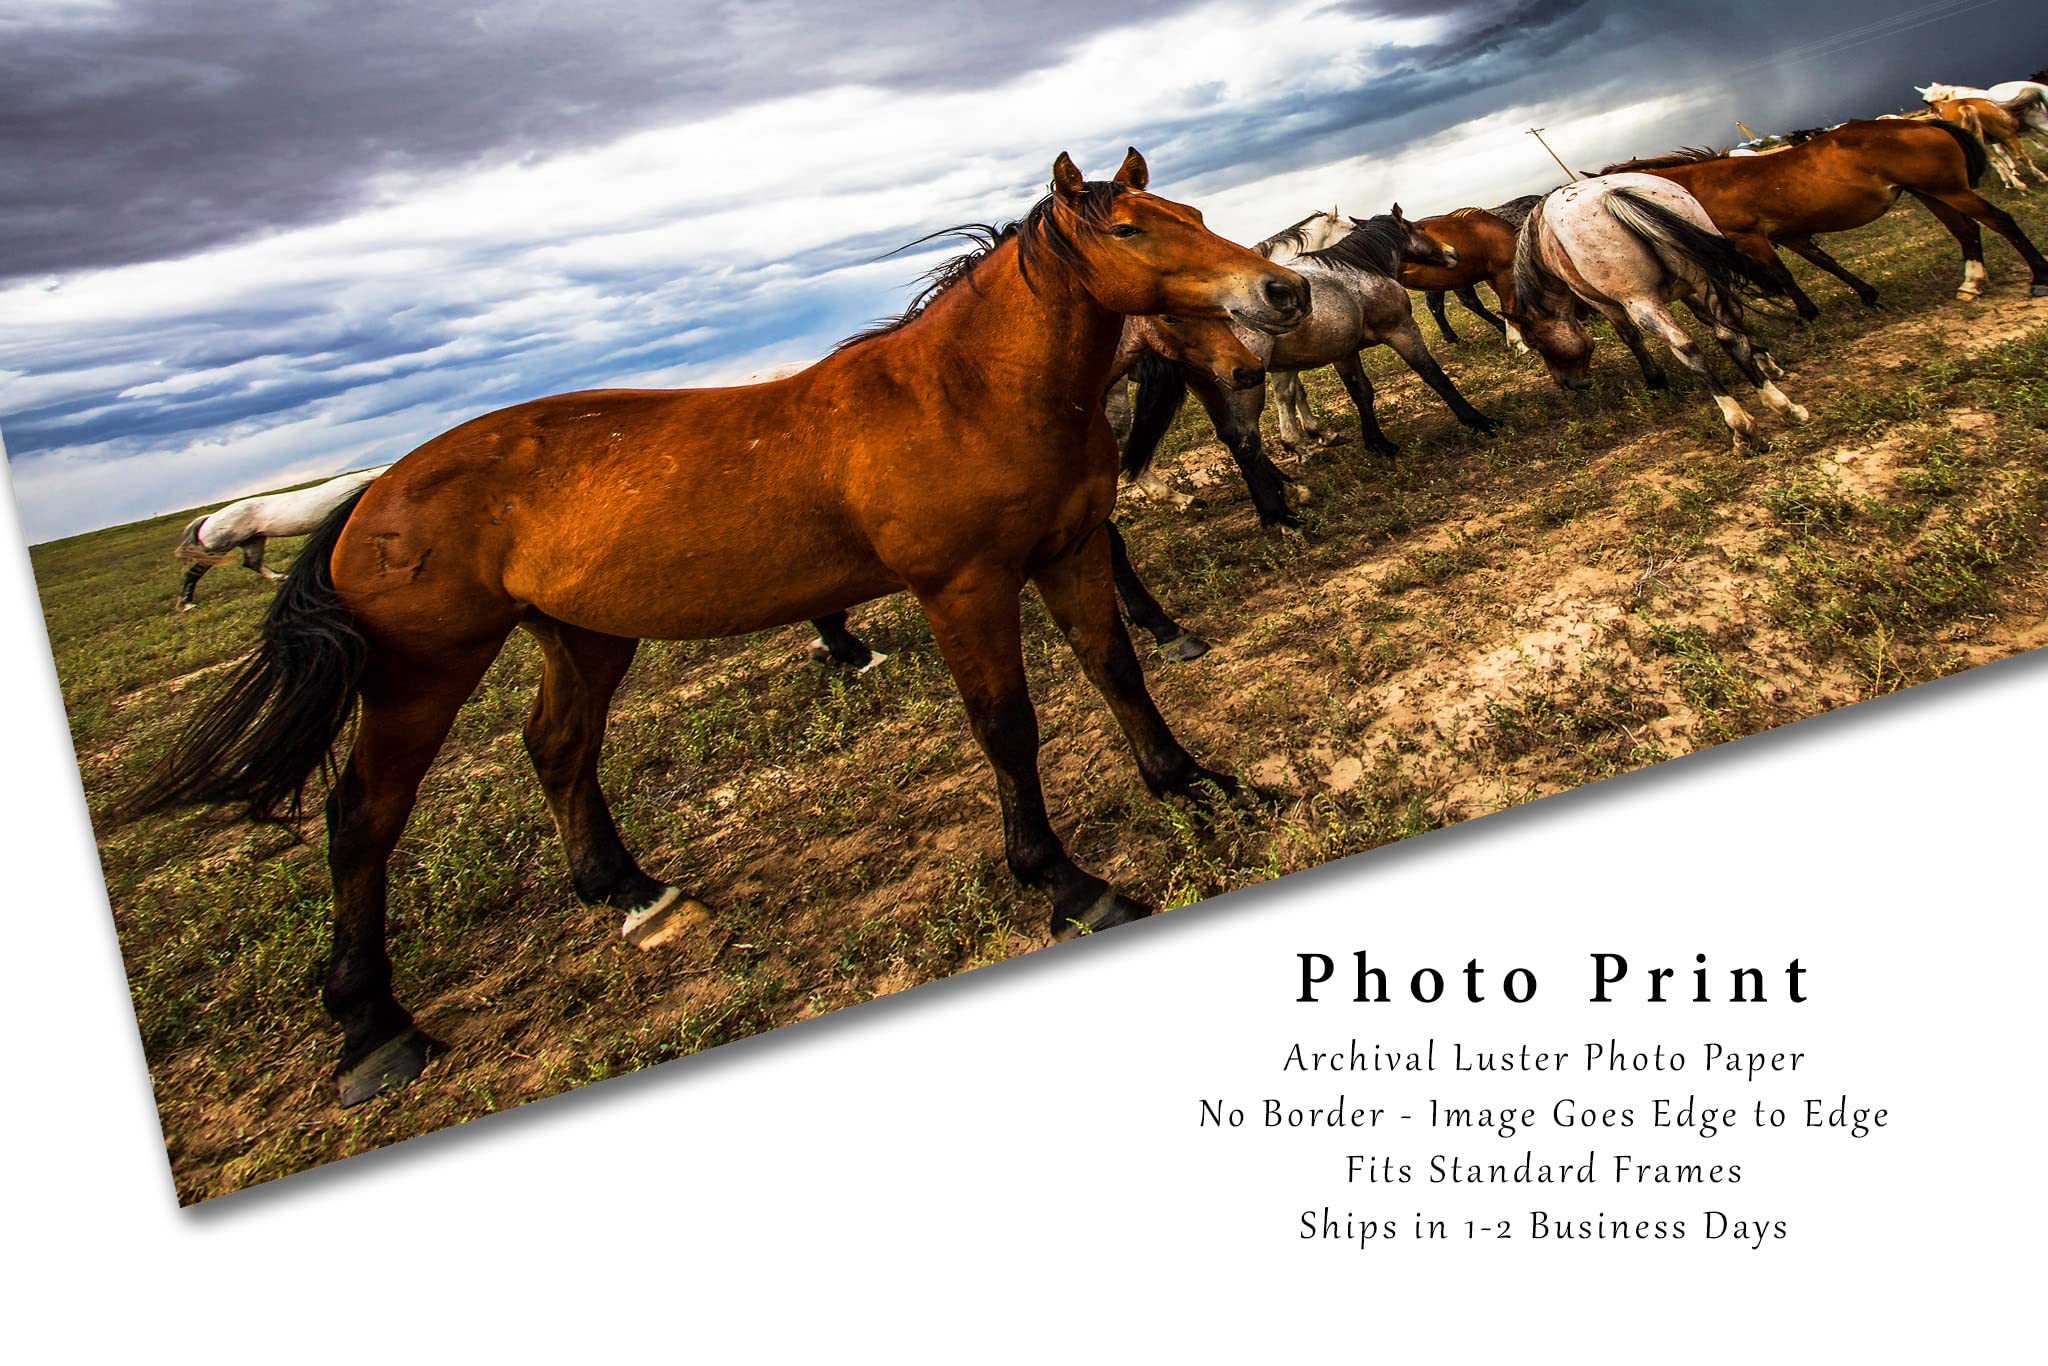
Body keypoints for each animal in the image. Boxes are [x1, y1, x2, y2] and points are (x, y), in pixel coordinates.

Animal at [173, 466, 390, 610]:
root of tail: (209, 518)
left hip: (253, 540)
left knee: (252, 562)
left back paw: (279, 577)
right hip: (218, 549)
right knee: (194, 573)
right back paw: (187, 604)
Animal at [1123, 207, 1500, 530]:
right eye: (1417, 228)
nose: (1452, 253)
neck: (1361, 269)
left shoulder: (1344, 352)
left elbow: (1361, 392)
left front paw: (1377, 443)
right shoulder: (1402, 329)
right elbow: (1434, 376)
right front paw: (1478, 421)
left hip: (1211, 390)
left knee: (1232, 437)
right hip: (1243, 386)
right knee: (1245, 439)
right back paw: (1276, 514)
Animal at [1510, 173, 1809, 450]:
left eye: (1536, 342)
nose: (1568, 384)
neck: (1543, 237)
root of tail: (1612, 195)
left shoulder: (1603, 303)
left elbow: (1630, 336)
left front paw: (1655, 380)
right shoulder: (1691, 288)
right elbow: (1712, 320)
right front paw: (1763, 359)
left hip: (1642, 302)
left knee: (1686, 347)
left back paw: (1740, 425)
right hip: (1704, 278)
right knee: (1729, 333)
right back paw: (1783, 405)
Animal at [1595, 120, 2048, 314]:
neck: (1696, 186)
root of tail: (1916, 123)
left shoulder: (1752, 237)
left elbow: (1782, 275)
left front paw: (1808, 313)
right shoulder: (1790, 234)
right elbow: (1826, 263)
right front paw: (1867, 294)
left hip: (1948, 190)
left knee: (2001, 222)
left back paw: (2038, 278)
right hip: (1933, 194)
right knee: (1965, 229)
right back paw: (1971, 282)